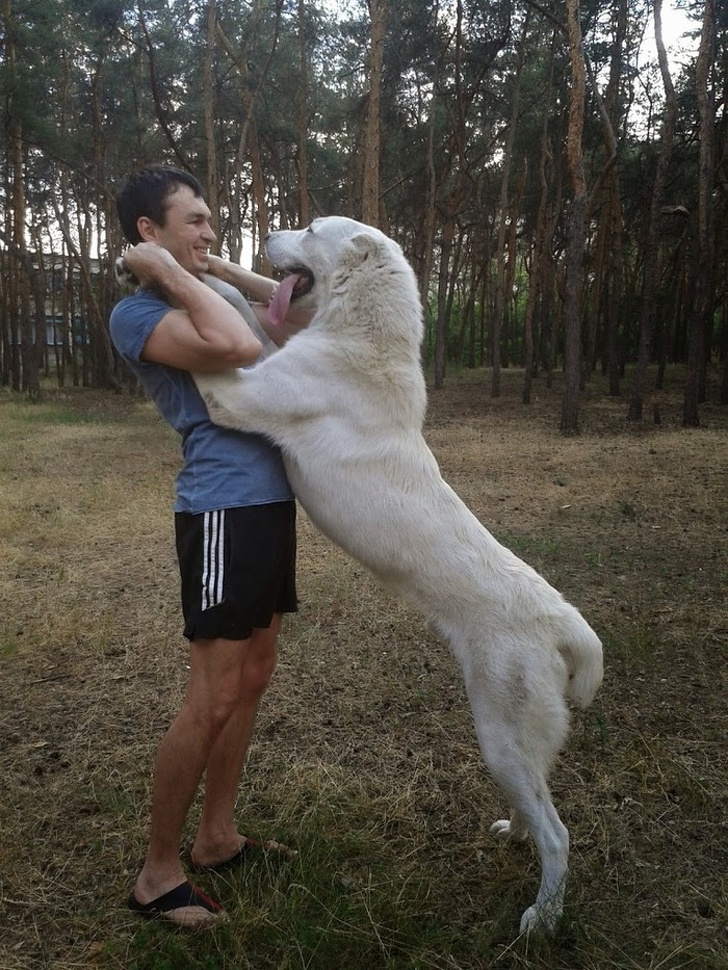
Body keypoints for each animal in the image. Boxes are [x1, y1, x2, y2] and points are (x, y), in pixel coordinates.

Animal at [192, 217, 604, 932]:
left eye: (310, 226)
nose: (264, 233)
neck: (363, 336)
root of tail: (563, 623)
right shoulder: (279, 340)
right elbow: (252, 299)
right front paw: (210, 261)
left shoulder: (235, 391)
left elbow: (231, 314)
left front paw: (163, 264)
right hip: (517, 744)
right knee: (540, 804)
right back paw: (517, 835)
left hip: (500, 734)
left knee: (560, 834)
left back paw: (542, 917)